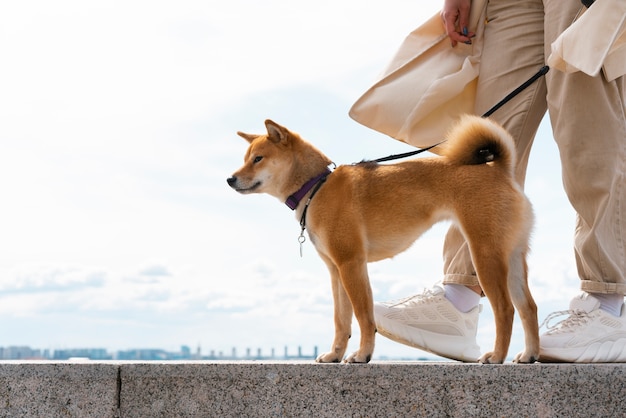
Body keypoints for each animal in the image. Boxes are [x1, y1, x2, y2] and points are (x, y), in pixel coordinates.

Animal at [227, 116, 540, 364]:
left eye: (258, 159)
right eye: (245, 159)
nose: (230, 179)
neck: (316, 187)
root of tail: (501, 170)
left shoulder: (351, 264)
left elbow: (363, 316)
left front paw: (362, 354)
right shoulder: (336, 270)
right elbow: (341, 320)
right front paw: (334, 354)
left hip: (484, 254)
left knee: (506, 309)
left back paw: (497, 356)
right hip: (512, 257)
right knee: (529, 307)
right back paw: (529, 355)